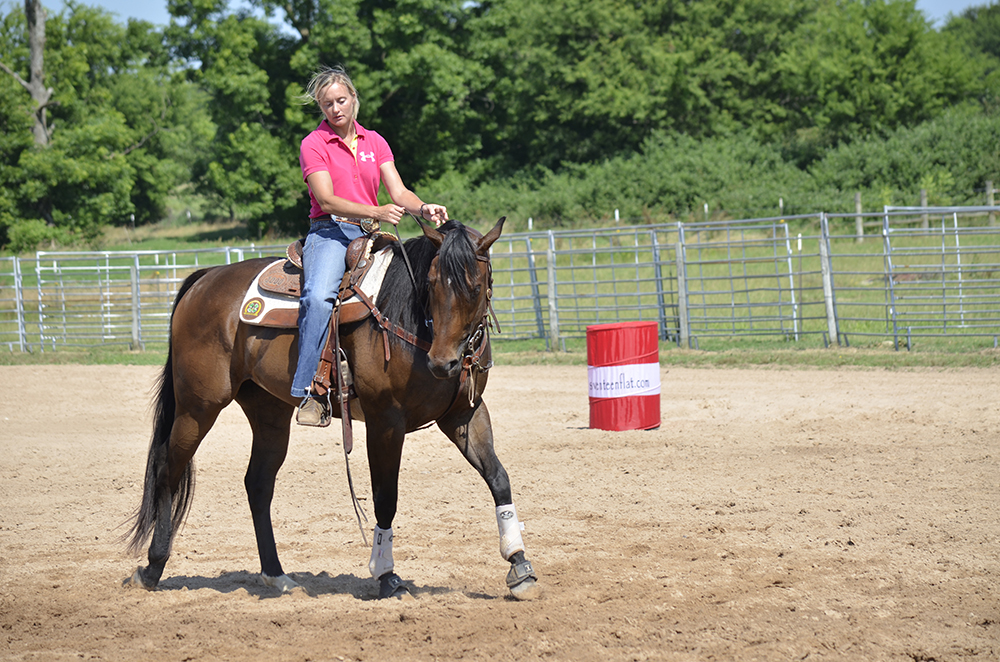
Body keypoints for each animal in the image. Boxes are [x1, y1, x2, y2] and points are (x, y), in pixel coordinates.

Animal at [123, 218, 539, 600]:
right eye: (432, 283)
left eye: (475, 286)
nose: (443, 363)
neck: (408, 320)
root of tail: (206, 278)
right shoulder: (385, 421)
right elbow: (385, 497)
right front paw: (387, 576)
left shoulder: (464, 415)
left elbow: (498, 478)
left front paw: (519, 565)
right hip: (198, 406)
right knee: (167, 469)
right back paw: (152, 569)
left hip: (268, 413)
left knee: (257, 484)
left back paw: (277, 575)